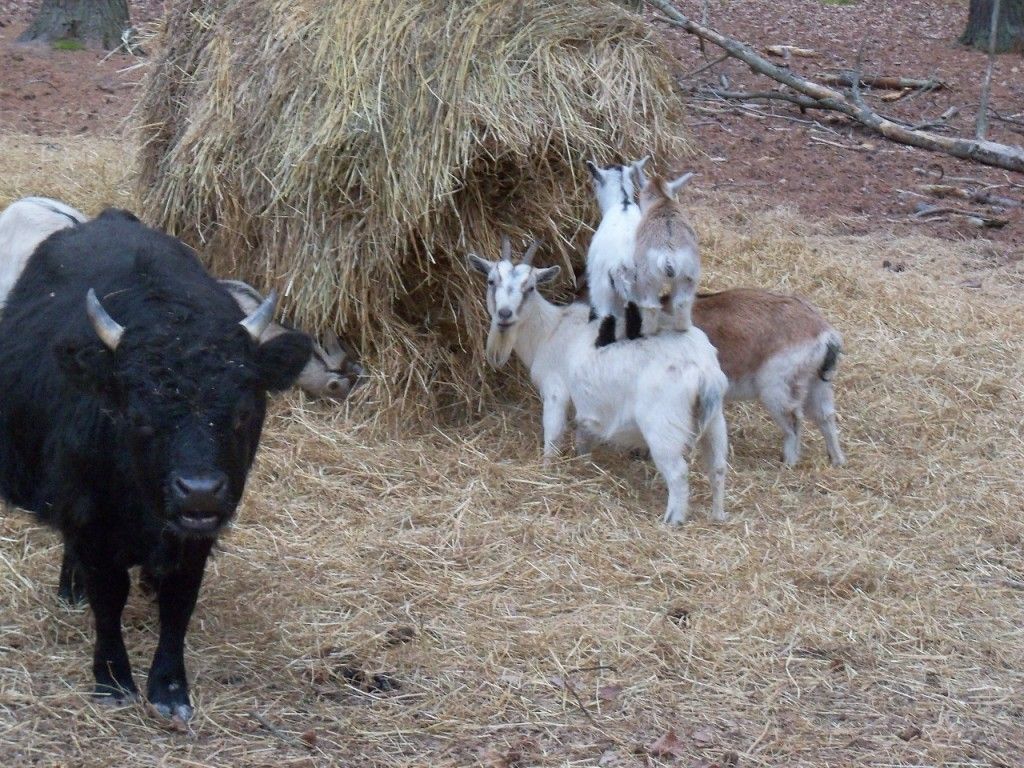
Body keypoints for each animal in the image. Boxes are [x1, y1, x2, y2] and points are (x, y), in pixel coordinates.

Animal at [0, 208, 311, 720]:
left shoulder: (198, 532)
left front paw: (168, 687)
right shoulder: (90, 518)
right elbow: (108, 598)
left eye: (244, 413)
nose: (199, 489)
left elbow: (179, 600)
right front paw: (112, 679)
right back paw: (72, 587)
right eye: (138, 416)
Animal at [468, 235, 729, 525]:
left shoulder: (556, 392)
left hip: (663, 425)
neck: (550, 330)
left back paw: (672, 521)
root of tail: (703, 372)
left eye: (531, 287)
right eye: (491, 281)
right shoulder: (587, 406)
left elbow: (552, 435)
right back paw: (718, 516)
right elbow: (583, 437)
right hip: (715, 420)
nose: (504, 314)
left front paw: (546, 471)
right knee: (718, 466)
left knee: (678, 473)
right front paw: (583, 464)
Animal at [583, 158, 649, 347]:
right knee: (634, 319)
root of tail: (622, 266)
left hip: (604, 291)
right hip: (641, 291)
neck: (622, 203)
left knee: (607, 323)